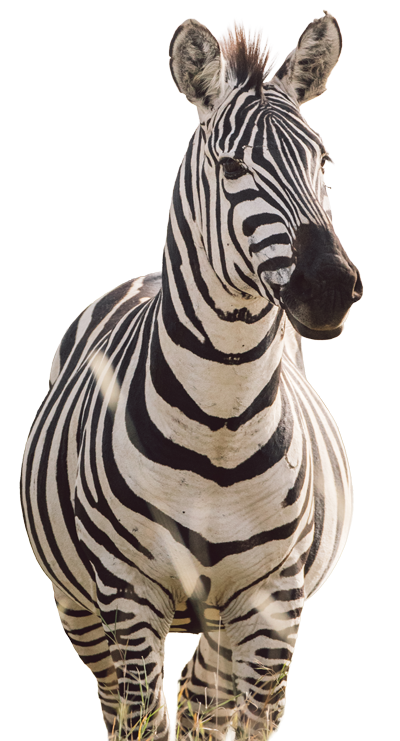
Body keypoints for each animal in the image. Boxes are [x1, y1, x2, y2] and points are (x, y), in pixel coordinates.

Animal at [20, 11, 362, 738]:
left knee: (205, 704)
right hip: (78, 607)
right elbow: (146, 720)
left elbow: (249, 721)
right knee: (122, 705)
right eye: (232, 167)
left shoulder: (272, 601)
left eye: (323, 162)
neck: (221, 424)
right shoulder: (127, 596)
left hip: (223, 621)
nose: (329, 288)